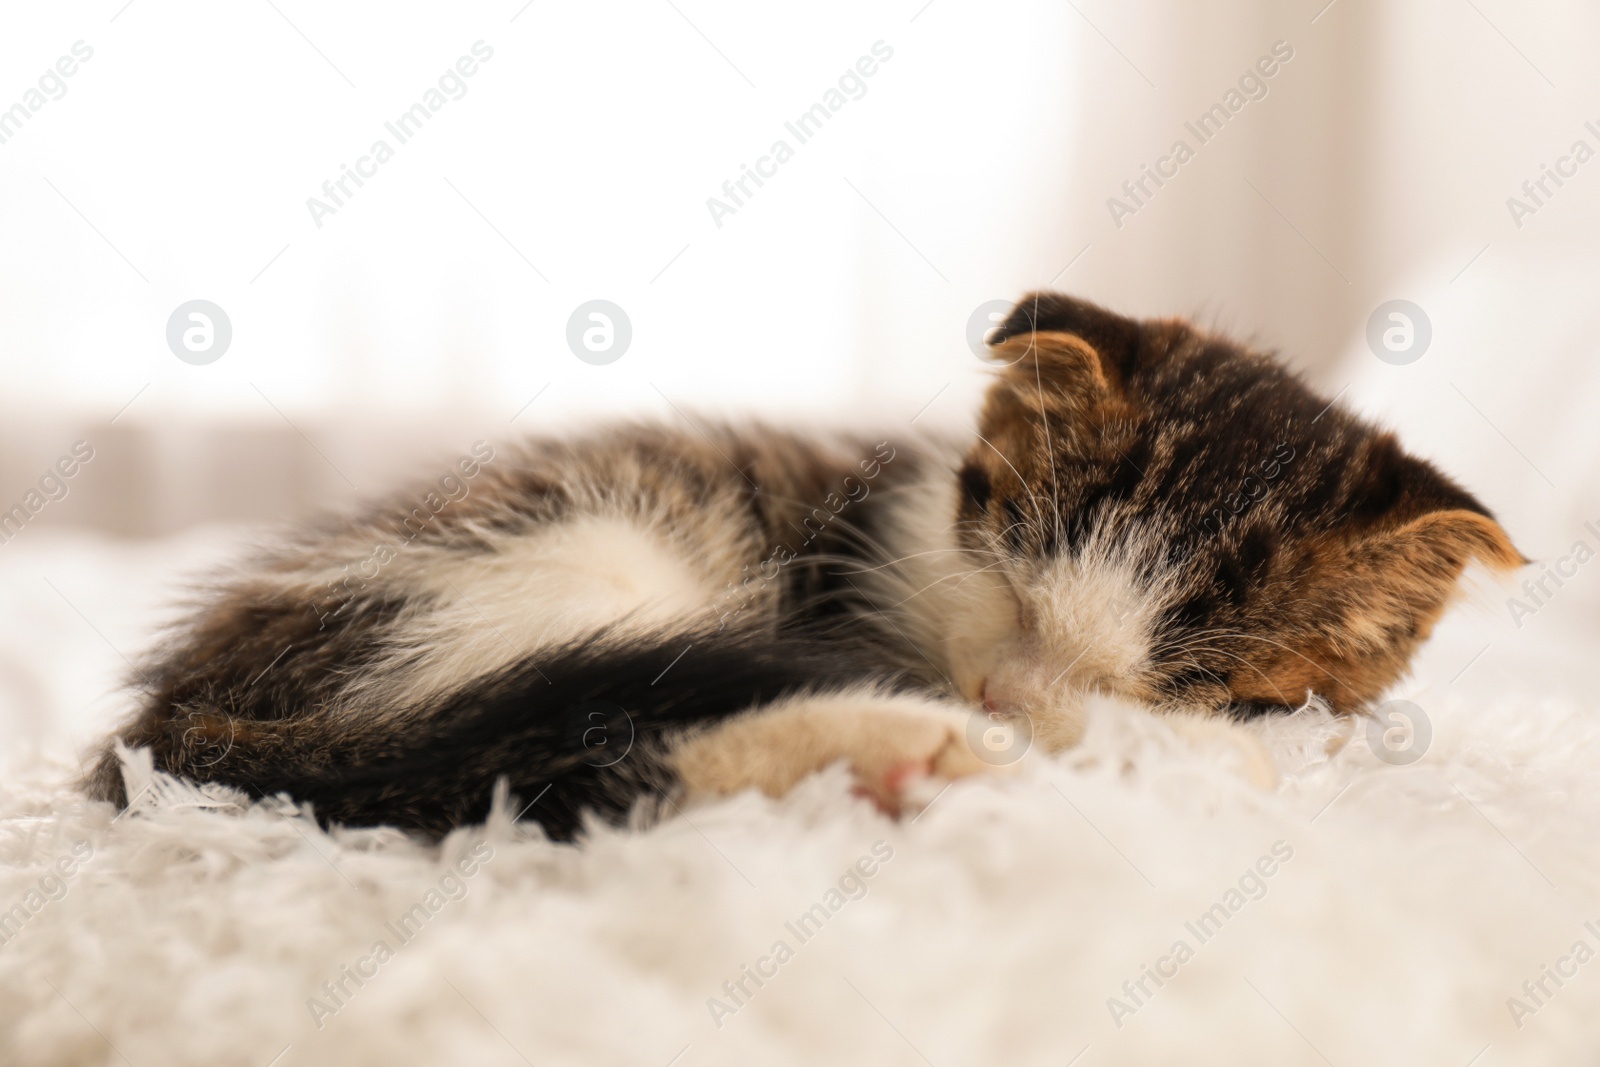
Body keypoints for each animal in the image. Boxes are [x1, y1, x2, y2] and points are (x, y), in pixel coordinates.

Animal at [87, 294, 1523, 844]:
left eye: (1167, 674)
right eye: (1011, 589)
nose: (1000, 696)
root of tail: (168, 713)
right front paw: (1186, 758)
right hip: (571, 561)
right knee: (581, 749)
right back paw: (895, 747)